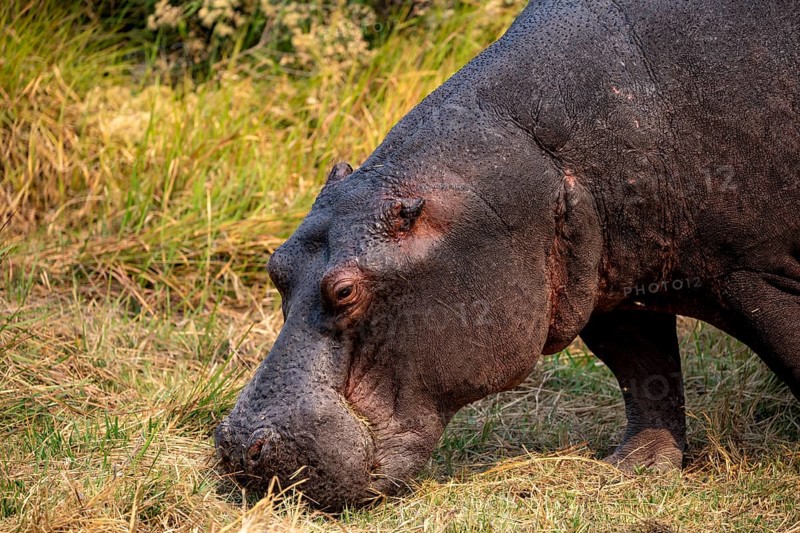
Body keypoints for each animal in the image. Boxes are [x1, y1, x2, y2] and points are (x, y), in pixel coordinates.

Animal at [215, 0, 800, 509]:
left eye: (344, 290)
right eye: (276, 266)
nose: (238, 450)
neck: (539, 162)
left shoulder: (756, 274)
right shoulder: (610, 291)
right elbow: (644, 372)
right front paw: (633, 469)